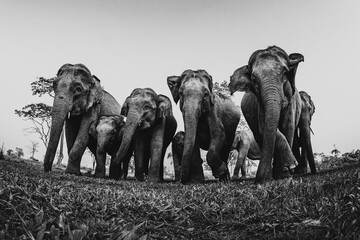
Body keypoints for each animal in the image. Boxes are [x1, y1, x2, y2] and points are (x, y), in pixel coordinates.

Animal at [228, 45, 304, 184]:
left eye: (285, 73)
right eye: (253, 79)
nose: (258, 180)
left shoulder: (292, 101)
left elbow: (288, 126)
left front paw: (286, 173)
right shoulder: (259, 104)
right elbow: (264, 127)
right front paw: (286, 169)